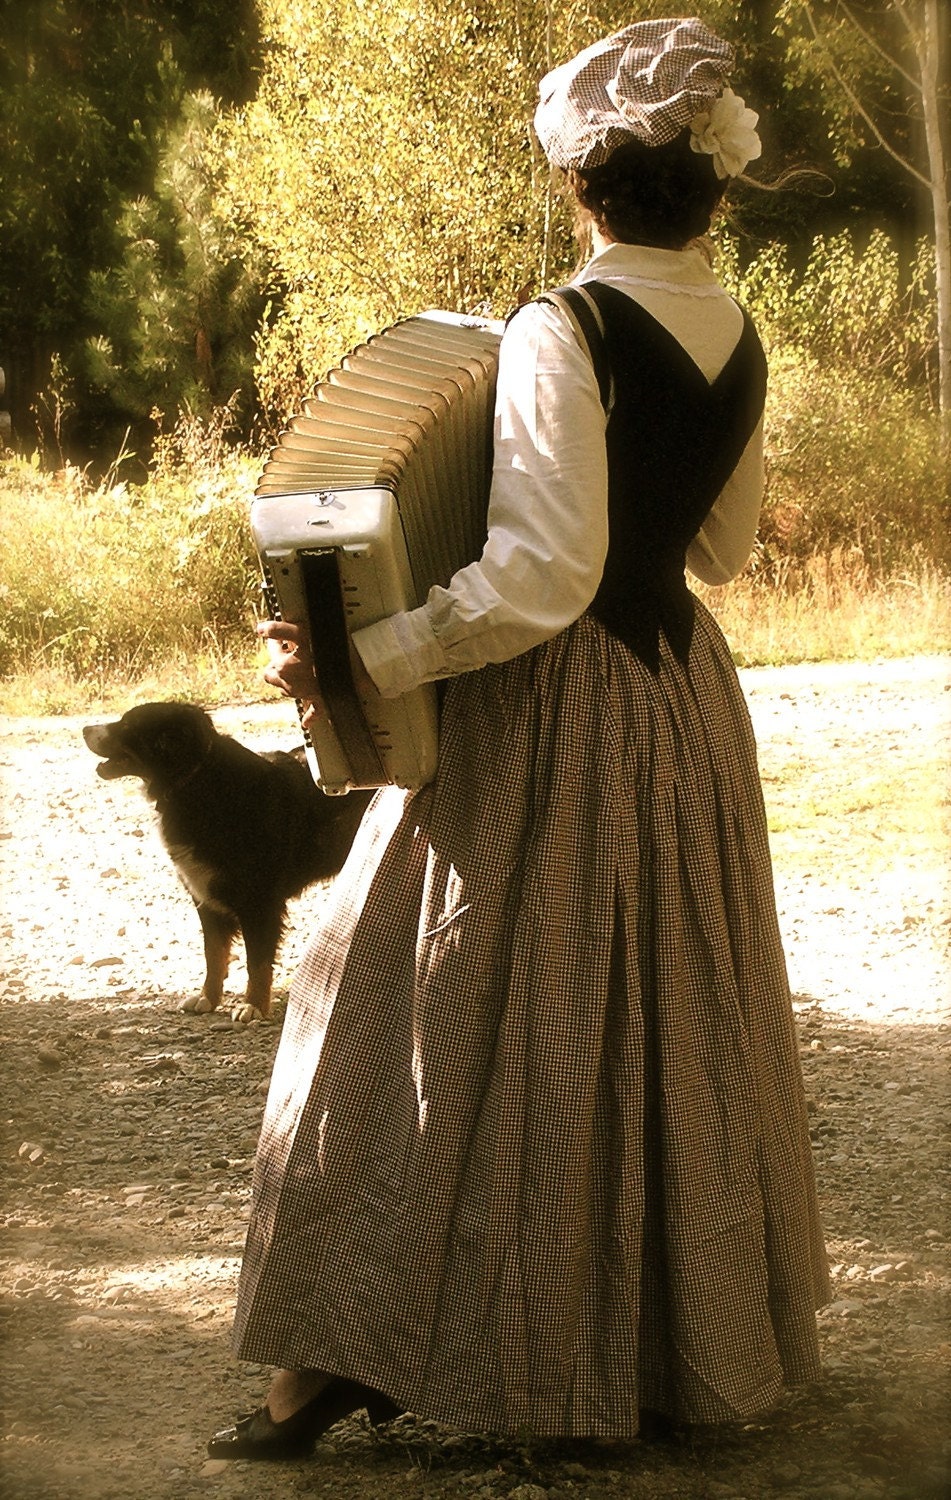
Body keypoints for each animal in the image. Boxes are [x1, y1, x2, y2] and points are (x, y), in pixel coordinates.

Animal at [82, 702, 370, 1020]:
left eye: (127, 725)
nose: (84, 729)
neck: (196, 781)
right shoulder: (205, 897)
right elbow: (214, 954)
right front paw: (207, 998)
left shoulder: (259, 902)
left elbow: (257, 961)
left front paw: (254, 1005)